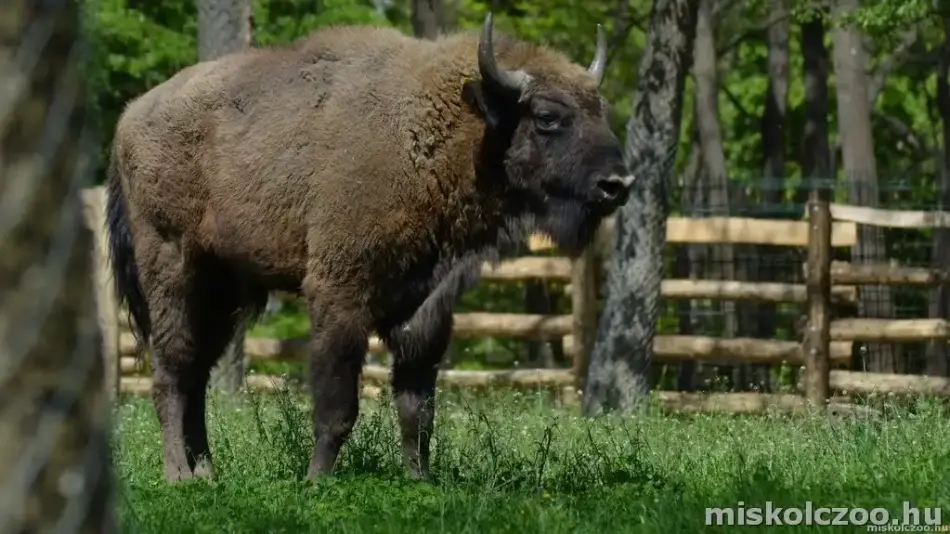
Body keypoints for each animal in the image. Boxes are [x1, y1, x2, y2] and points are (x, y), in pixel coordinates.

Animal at [108, 15, 636, 486]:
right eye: (547, 118)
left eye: (601, 110)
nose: (619, 183)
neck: (452, 126)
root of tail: (129, 118)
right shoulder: (341, 294)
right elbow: (338, 405)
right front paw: (316, 481)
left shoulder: (427, 305)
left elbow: (417, 408)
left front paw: (419, 481)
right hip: (173, 269)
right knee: (172, 370)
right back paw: (179, 476)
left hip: (224, 290)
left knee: (196, 373)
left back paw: (208, 473)